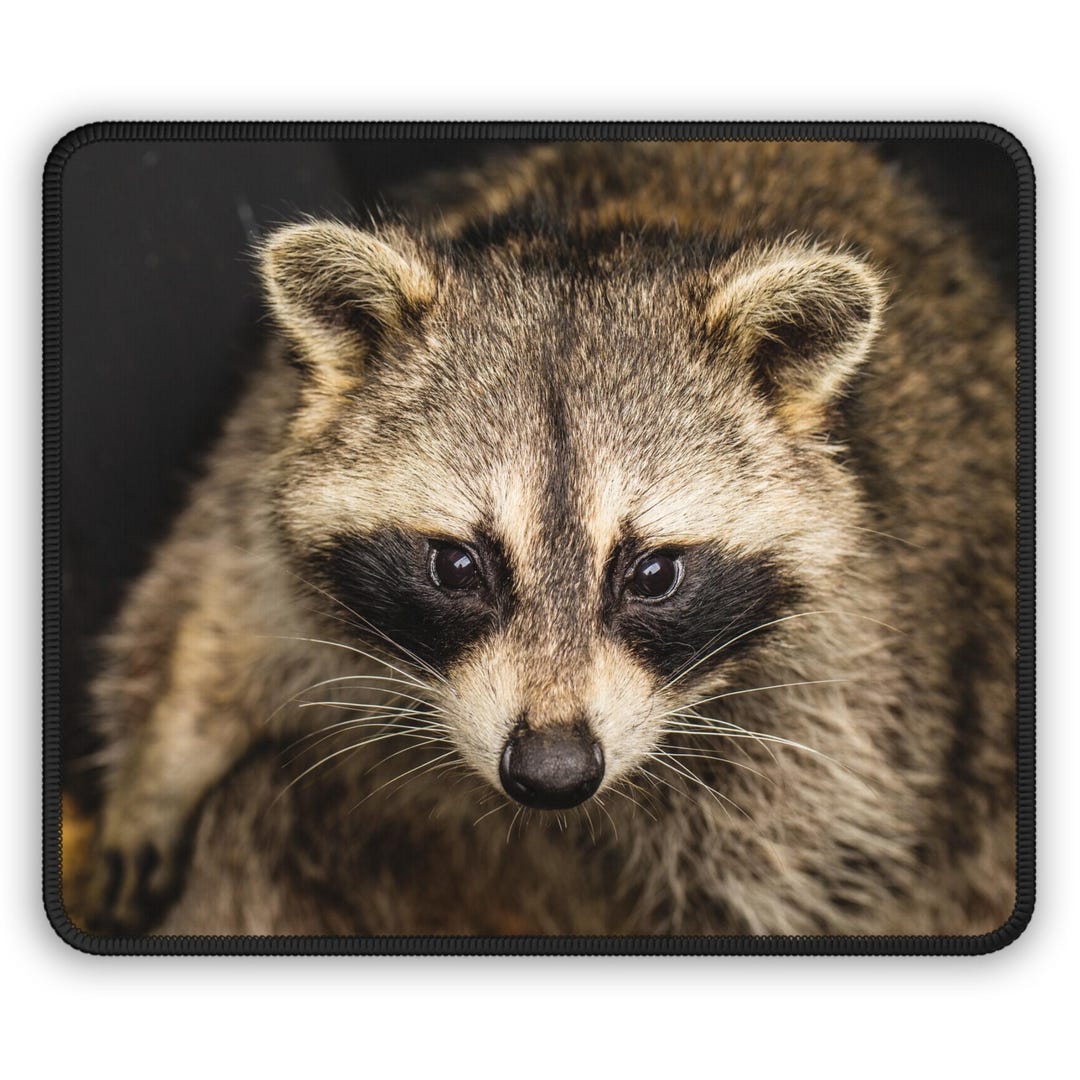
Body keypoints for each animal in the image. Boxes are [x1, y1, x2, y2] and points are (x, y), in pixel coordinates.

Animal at [79, 140, 1016, 937]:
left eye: (654, 573)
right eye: (456, 565)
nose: (552, 770)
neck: (594, 235)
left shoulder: (842, 706)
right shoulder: (269, 433)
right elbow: (222, 581)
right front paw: (166, 752)